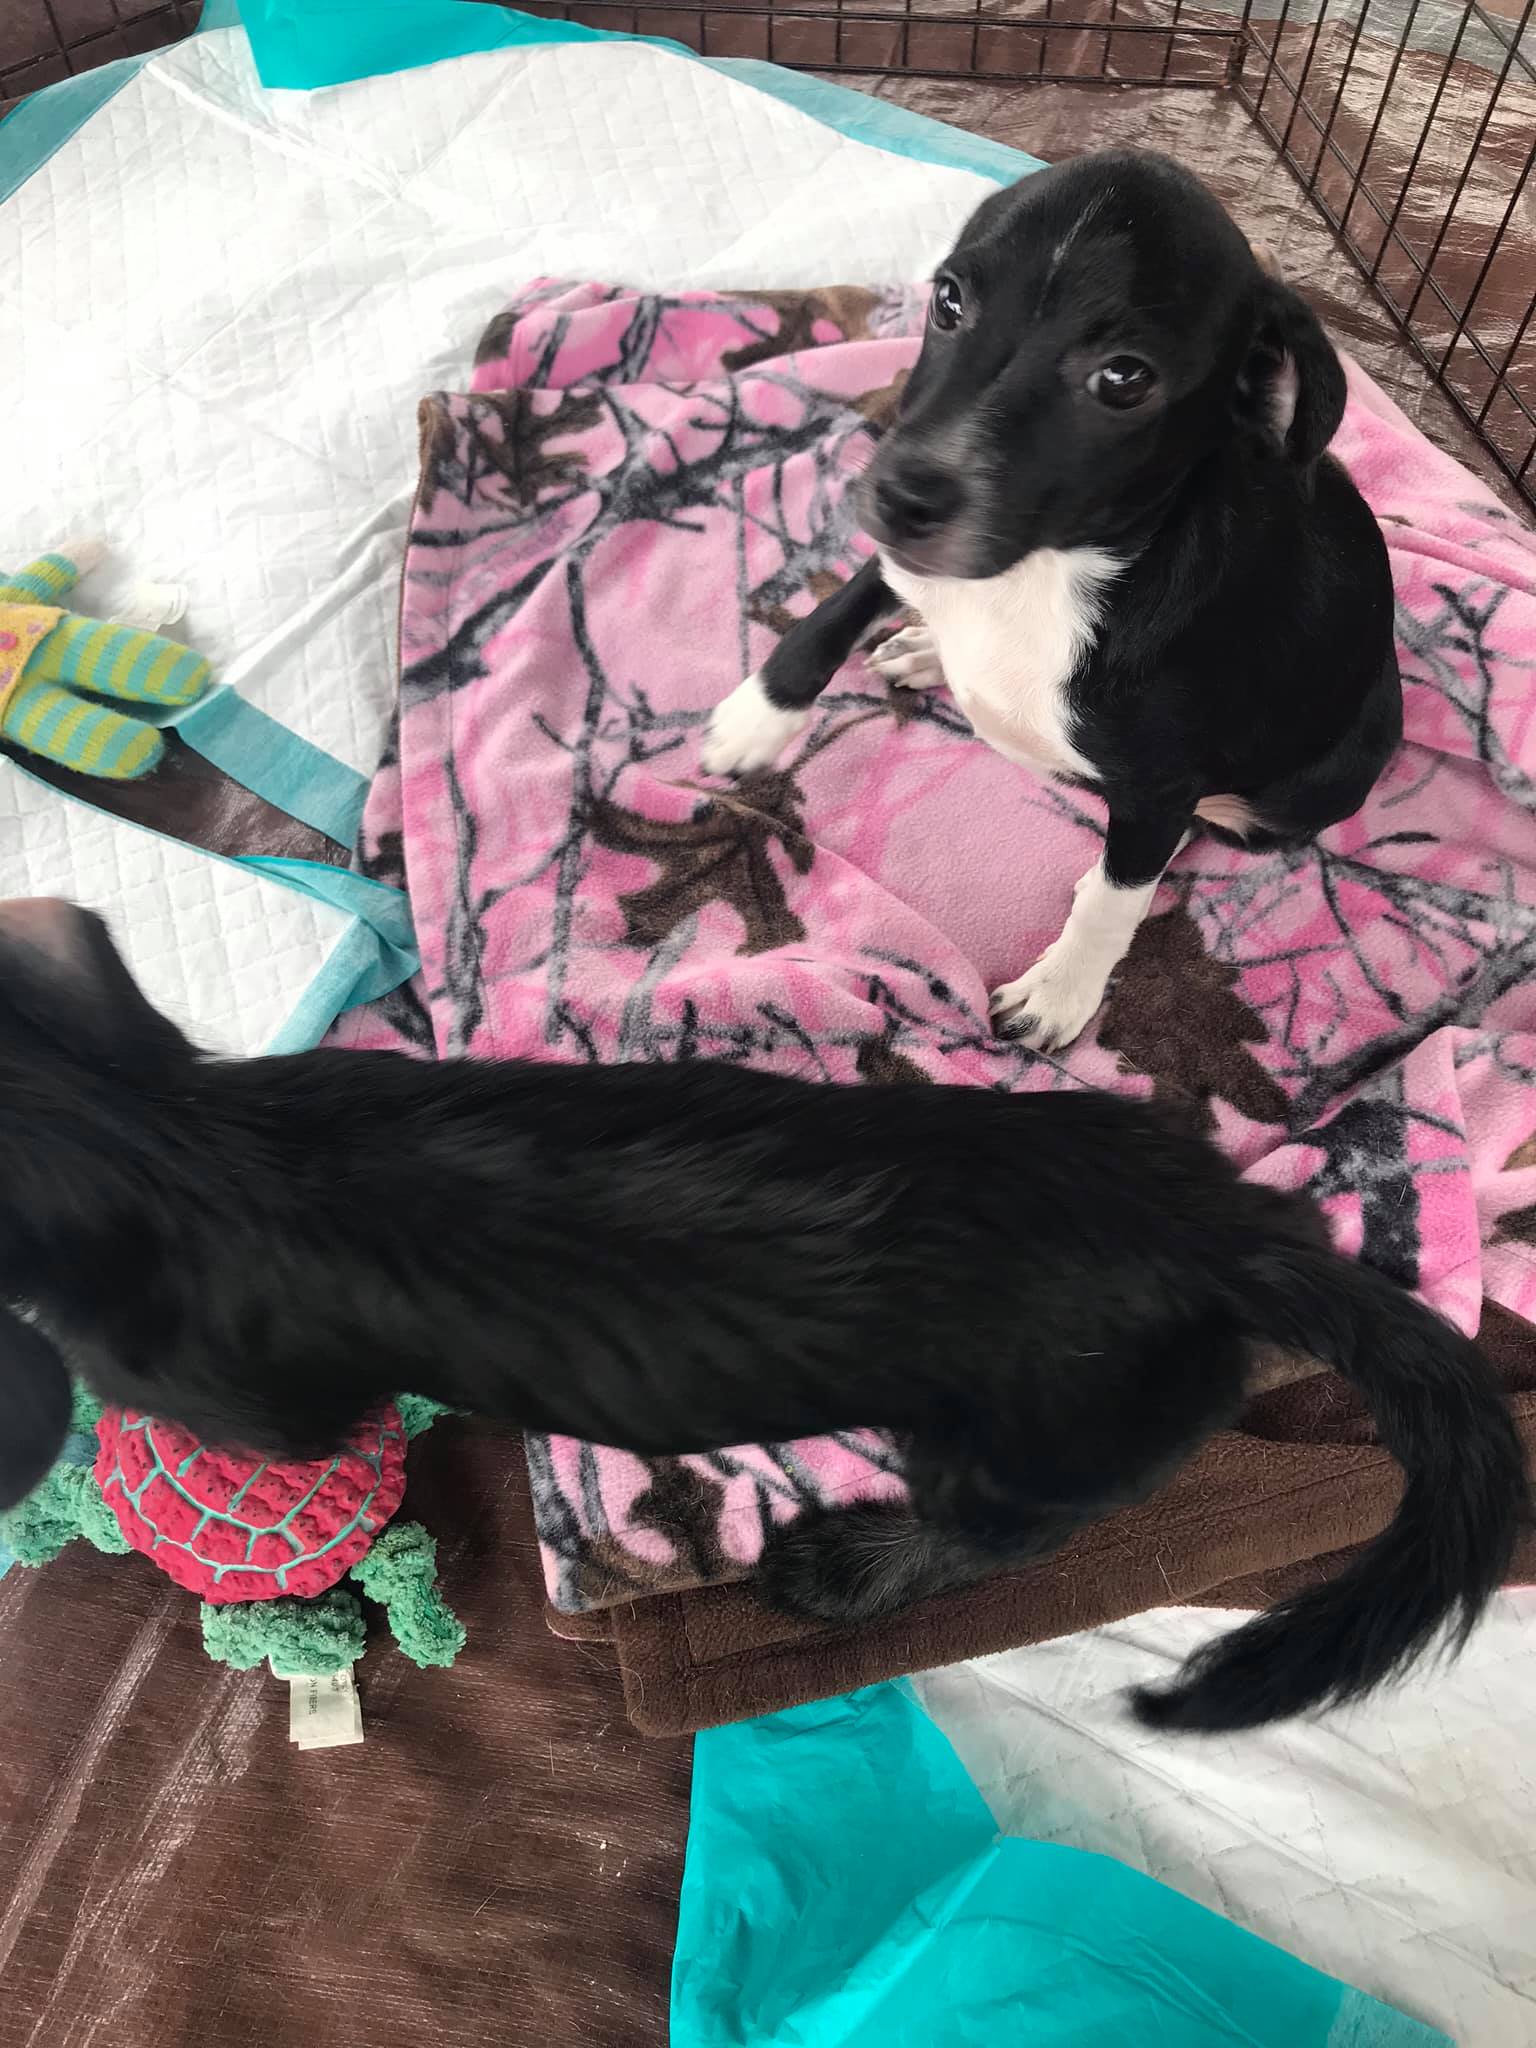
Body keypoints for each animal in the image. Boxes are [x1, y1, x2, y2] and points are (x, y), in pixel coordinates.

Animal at [0, 897, 1520, 1732]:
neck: (158, 1137)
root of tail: (1211, 1230)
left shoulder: (260, 1401)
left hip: (1024, 1438)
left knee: (1012, 1529)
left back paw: (851, 1566)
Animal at [701, 150, 1402, 1053]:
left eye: (1125, 378)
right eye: (948, 300)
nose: (901, 497)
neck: (1045, 570)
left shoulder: (1159, 789)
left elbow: (1116, 895)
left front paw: (1060, 991)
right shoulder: (912, 563)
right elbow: (834, 613)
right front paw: (755, 717)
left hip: (1309, 784)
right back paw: (926, 651)